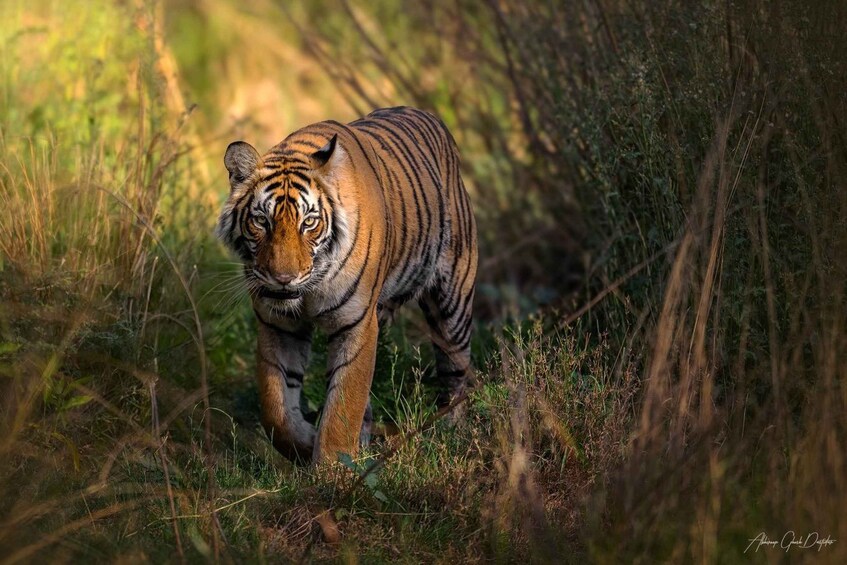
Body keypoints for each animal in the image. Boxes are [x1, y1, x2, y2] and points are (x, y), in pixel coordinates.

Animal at [216, 106, 478, 464]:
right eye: (261, 221)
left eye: (309, 222)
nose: (283, 278)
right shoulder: (278, 324)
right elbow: (276, 410)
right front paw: (305, 443)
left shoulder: (357, 324)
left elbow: (343, 406)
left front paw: (331, 467)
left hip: (453, 302)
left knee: (455, 372)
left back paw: (451, 433)